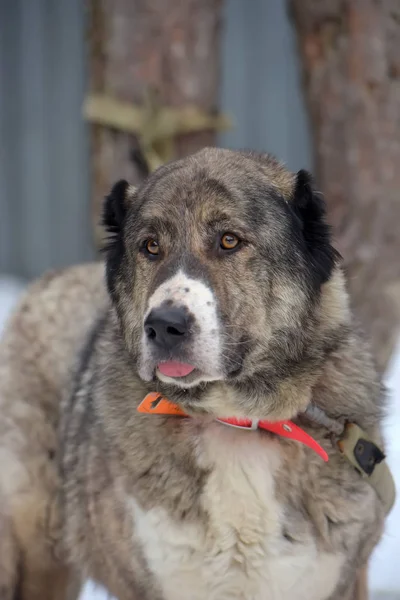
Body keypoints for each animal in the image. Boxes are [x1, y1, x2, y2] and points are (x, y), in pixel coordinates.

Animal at [0, 146, 394, 600]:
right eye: (151, 246)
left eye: (229, 241)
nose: (164, 325)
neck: (237, 420)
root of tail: (49, 280)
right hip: (34, 555)